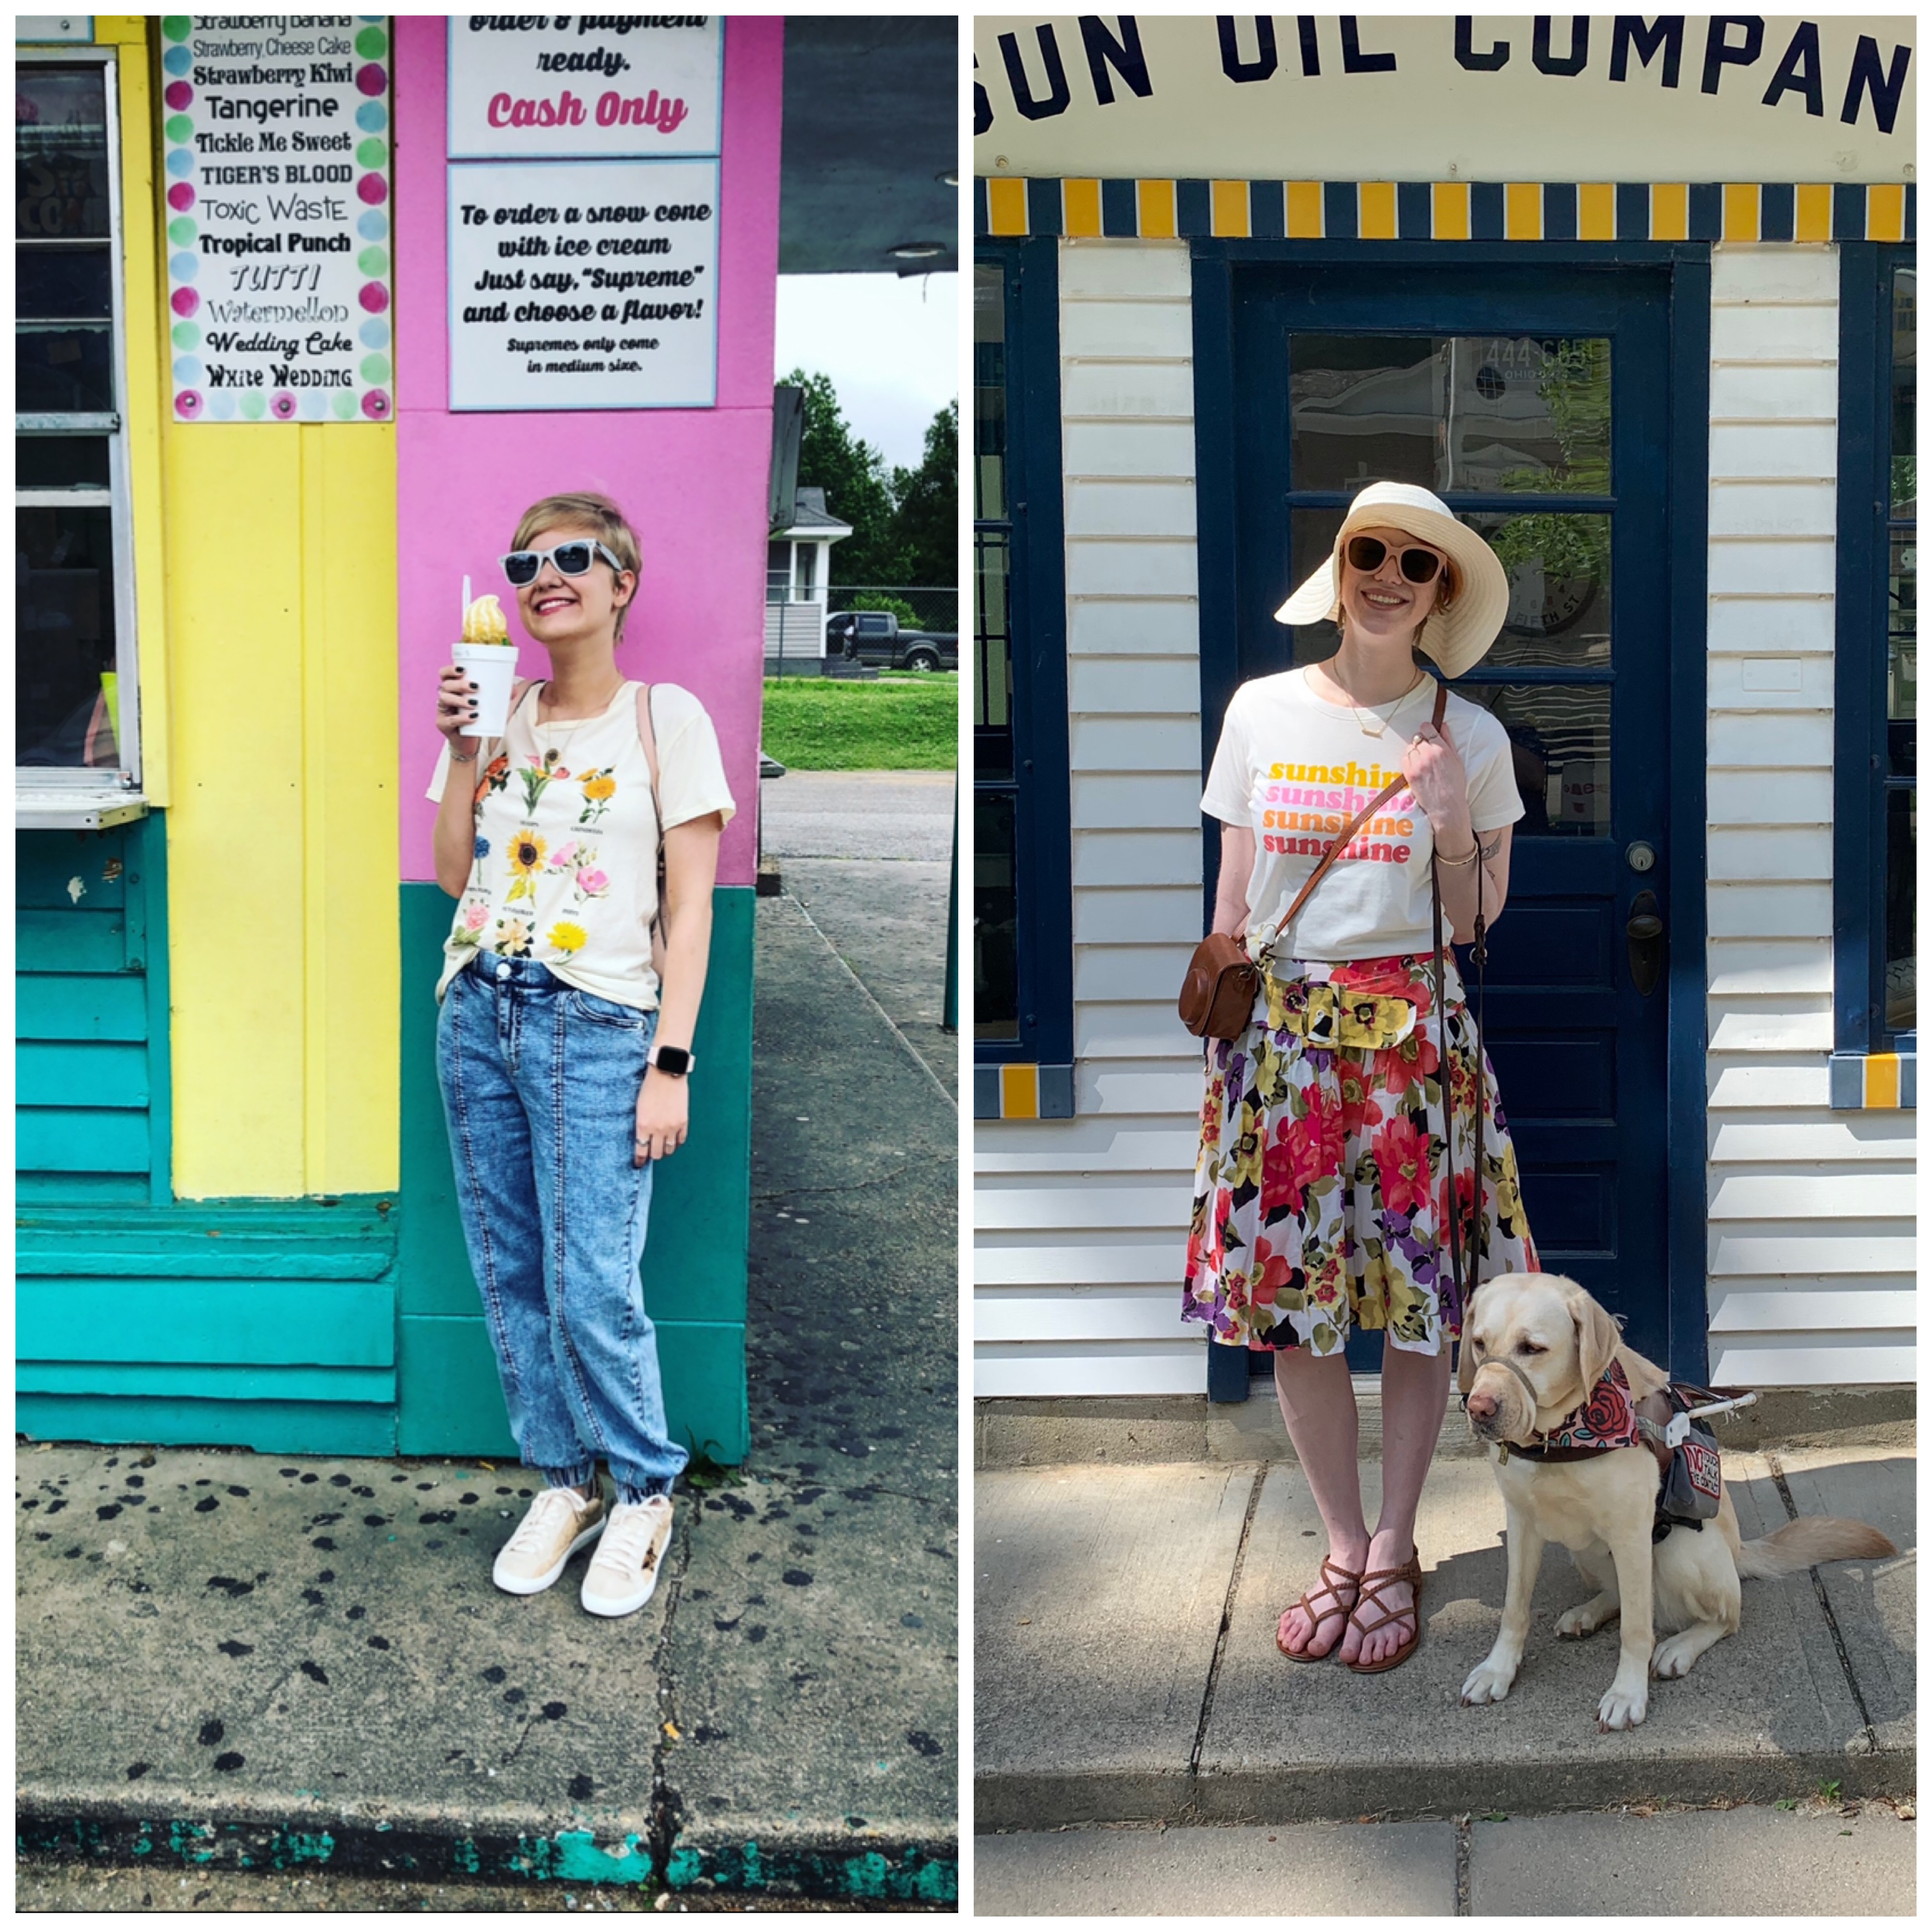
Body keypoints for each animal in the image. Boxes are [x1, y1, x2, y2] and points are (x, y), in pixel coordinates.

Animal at [1461, 1275, 1886, 1731]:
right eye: (1480, 1344)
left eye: (1532, 1348)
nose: (1478, 1409)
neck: (1558, 1438)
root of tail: (1740, 1552)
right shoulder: (1522, 1522)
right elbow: (1514, 1608)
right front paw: (1497, 1671)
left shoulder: (1631, 1532)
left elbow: (1636, 1630)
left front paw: (1627, 1694)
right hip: (1584, 1552)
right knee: (1620, 1594)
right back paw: (1588, 1613)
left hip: (1682, 1550)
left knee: (1723, 1616)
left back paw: (1679, 1647)